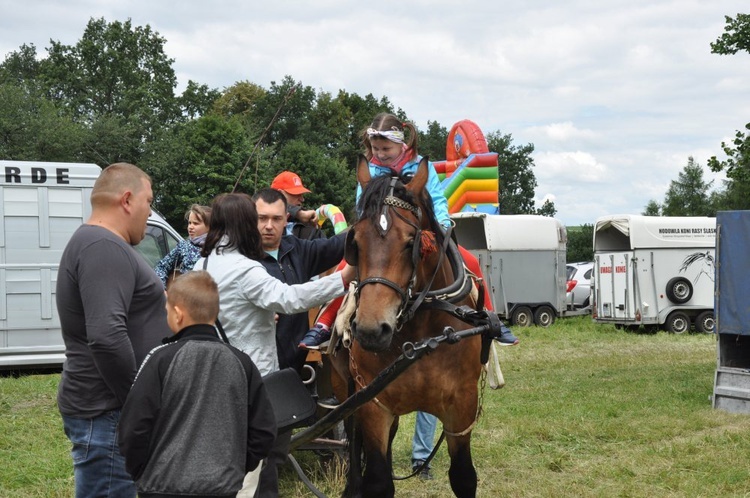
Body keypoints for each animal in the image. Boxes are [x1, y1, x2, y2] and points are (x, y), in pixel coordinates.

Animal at [334, 157, 482, 498]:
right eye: (355, 241)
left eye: (411, 243)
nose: (371, 330)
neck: (421, 329)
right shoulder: (372, 403)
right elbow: (377, 481)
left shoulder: (463, 405)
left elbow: (464, 477)